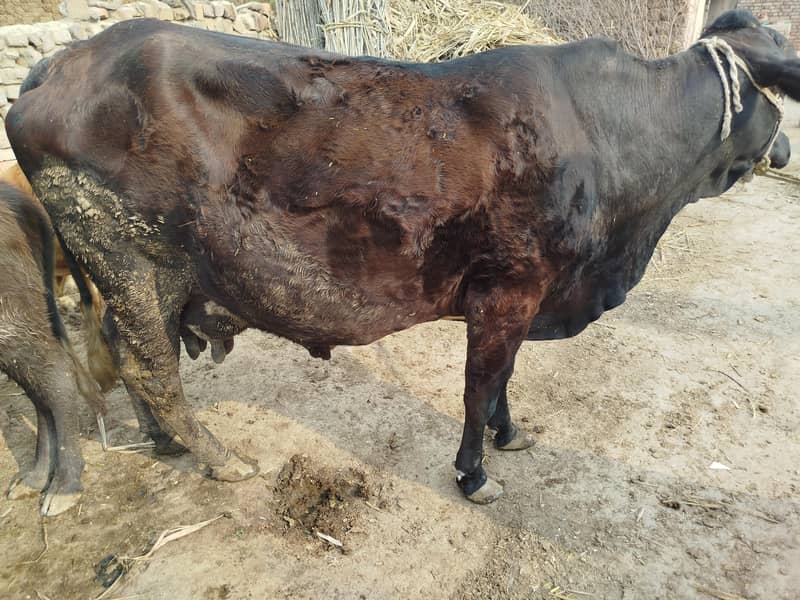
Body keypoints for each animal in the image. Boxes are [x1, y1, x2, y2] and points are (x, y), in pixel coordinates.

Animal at [6, 9, 797, 503]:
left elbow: (505, 380)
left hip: (132, 281)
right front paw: (475, 474)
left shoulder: (528, 296)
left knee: (125, 351)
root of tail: (61, 63)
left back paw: (164, 443)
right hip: (134, 263)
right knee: (151, 366)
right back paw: (221, 459)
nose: (787, 147)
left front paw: (510, 435)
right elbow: (481, 383)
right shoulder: (507, 289)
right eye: (772, 92)